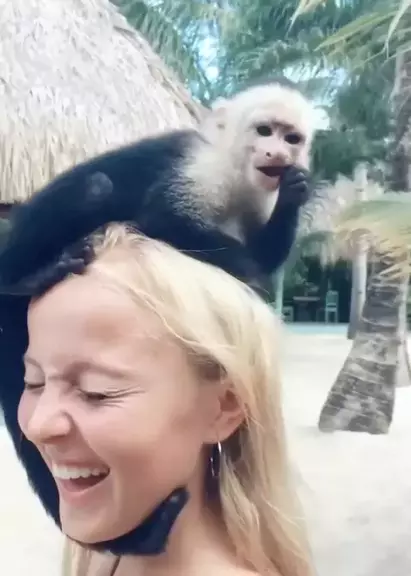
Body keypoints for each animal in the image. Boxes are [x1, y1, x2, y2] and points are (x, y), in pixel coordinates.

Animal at [0, 81, 315, 297]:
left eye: (291, 138)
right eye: (264, 131)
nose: (277, 154)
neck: (236, 170)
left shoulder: (262, 193)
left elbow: (266, 254)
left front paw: (293, 193)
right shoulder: (205, 168)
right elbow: (161, 217)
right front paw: (251, 273)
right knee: (96, 187)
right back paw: (20, 282)